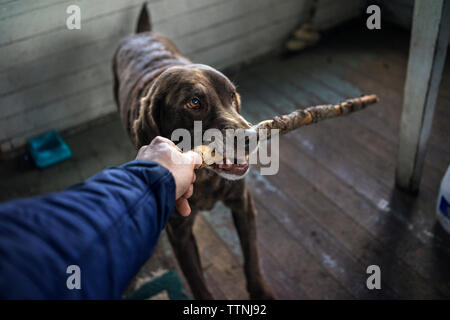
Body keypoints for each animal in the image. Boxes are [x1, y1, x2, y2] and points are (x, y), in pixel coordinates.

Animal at [112, 4, 274, 300]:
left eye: (233, 96)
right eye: (195, 102)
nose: (251, 137)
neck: (206, 180)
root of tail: (140, 34)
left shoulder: (243, 204)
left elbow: (252, 258)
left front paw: (261, 292)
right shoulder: (180, 234)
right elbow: (198, 282)